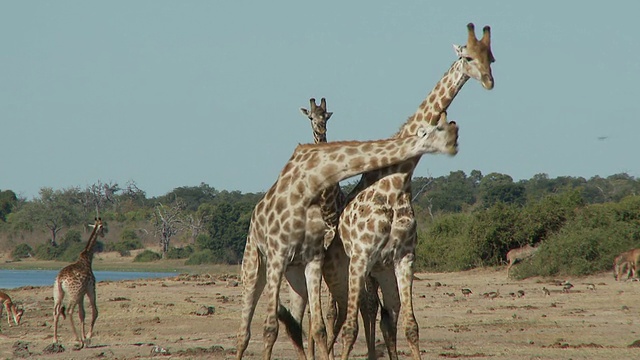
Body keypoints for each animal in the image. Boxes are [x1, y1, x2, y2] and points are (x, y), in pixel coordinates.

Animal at [53, 217, 105, 348]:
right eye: (102, 226)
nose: (103, 234)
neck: (87, 259)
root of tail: (60, 279)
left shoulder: (81, 294)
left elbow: (82, 314)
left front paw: (84, 338)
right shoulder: (90, 289)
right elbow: (95, 312)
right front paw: (87, 338)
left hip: (58, 294)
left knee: (56, 312)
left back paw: (55, 340)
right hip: (73, 294)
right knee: (69, 311)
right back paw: (77, 339)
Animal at [235, 116, 460, 358]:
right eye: (433, 130)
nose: (454, 138)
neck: (312, 181)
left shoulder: (313, 258)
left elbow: (319, 328)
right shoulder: (278, 254)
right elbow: (270, 328)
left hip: (294, 272)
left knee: (295, 324)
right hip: (255, 263)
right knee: (245, 330)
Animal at [324, 23, 496, 358]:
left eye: (491, 57)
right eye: (467, 57)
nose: (488, 81)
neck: (397, 181)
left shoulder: (404, 256)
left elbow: (410, 326)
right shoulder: (361, 256)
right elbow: (350, 329)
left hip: (381, 271)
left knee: (384, 317)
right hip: (343, 273)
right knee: (335, 319)